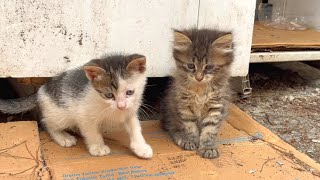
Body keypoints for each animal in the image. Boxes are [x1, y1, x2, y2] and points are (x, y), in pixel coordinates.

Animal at [0, 54, 154, 158]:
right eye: (109, 95)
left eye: (130, 92)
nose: (121, 106)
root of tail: (41, 89)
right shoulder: (84, 115)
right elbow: (92, 132)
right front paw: (98, 147)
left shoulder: (130, 111)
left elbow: (135, 128)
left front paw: (141, 147)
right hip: (59, 114)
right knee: (47, 124)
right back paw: (63, 137)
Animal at [161, 28, 234, 158]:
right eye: (191, 66)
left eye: (209, 67)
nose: (199, 77)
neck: (200, 89)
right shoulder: (184, 106)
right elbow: (190, 127)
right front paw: (190, 141)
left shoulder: (216, 107)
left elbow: (210, 130)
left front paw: (208, 147)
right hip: (170, 111)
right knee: (173, 128)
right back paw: (181, 137)